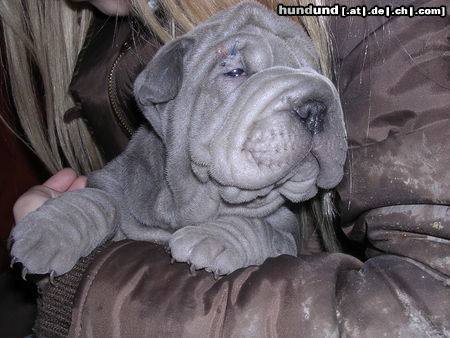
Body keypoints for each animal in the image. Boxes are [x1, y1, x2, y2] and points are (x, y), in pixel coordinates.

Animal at [10, 1, 348, 278]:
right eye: (235, 72)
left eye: (319, 73)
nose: (316, 108)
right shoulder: (113, 181)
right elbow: (96, 199)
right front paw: (47, 233)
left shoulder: (286, 231)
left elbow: (258, 225)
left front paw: (214, 237)